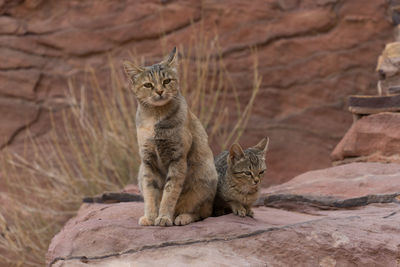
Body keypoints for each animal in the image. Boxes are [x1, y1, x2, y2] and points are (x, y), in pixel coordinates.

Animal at [122, 47, 219, 226]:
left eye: (167, 81)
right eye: (148, 85)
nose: (160, 91)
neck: (155, 116)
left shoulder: (177, 158)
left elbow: (170, 192)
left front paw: (164, 217)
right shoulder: (147, 160)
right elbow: (150, 192)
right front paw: (151, 216)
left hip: (204, 177)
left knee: (203, 212)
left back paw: (182, 217)